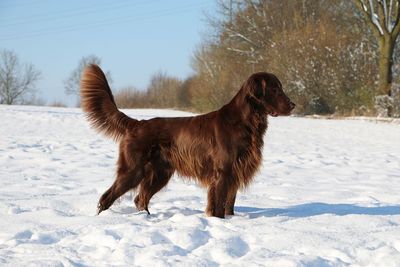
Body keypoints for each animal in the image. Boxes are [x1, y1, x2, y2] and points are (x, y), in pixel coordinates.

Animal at [80, 65, 294, 220]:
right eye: (275, 89)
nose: (293, 105)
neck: (245, 121)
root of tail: (137, 124)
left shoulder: (236, 172)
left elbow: (229, 205)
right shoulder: (223, 172)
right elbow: (218, 206)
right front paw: (219, 222)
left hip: (159, 173)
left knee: (140, 199)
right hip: (133, 170)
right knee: (106, 197)